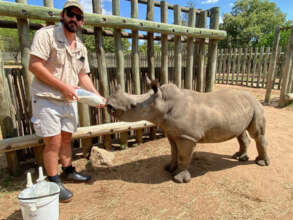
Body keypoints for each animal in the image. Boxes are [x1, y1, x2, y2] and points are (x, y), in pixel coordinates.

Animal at [106, 81, 268, 183]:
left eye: (133, 106)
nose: (109, 105)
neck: (163, 103)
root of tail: (254, 97)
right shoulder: (172, 132)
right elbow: (173, 152)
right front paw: (168, 168)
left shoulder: (187, 136)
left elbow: (183, 155)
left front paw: (179, 179)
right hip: (240, 107)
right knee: (240, 133)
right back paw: (239, 157)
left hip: (256, 106)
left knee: (257, 134)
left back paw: (261, 163)